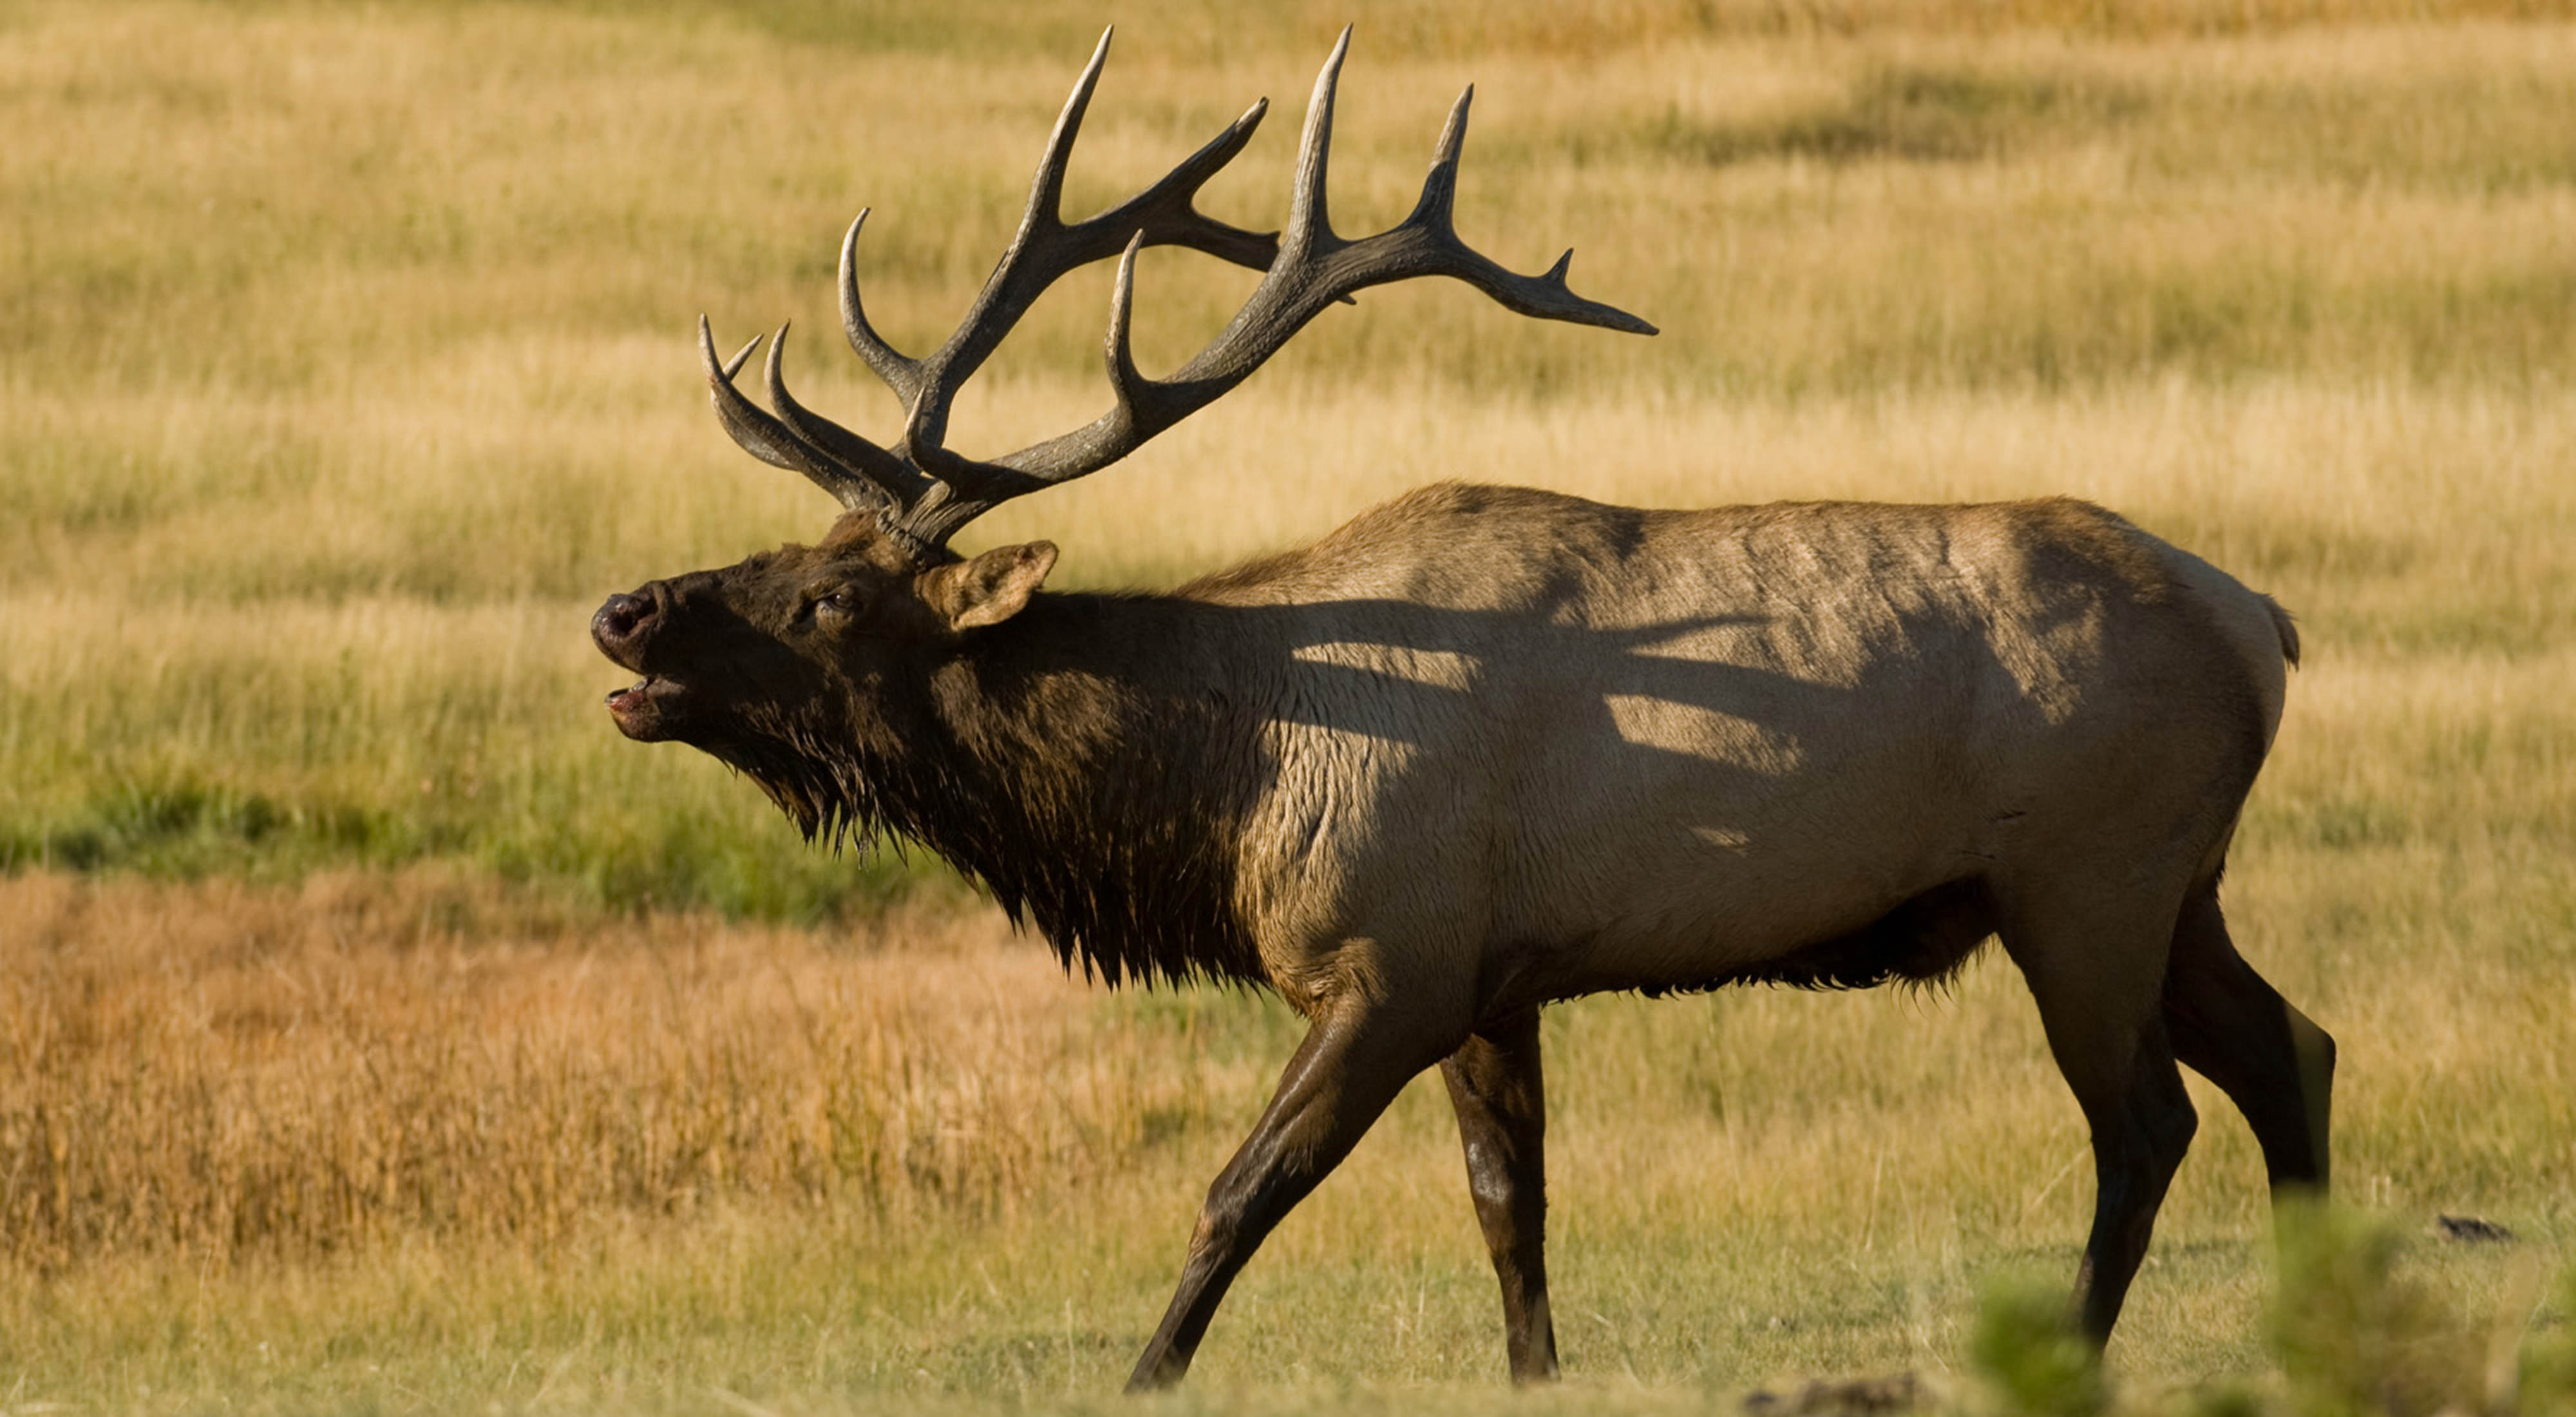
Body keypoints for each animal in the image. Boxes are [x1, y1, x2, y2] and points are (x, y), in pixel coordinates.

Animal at [589, 29, 2336, 1390]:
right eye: (789, 553)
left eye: (829, 600)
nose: (627, 608)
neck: (1225, 781)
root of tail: (2264, 624)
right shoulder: (1497, 979)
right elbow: (1511, 1206)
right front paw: (1533, 1370)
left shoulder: (1393, 959)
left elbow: (1235, 1193)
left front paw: (1144, 1370)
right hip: (2173, 885)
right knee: (2291, 1052)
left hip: (2085, 878)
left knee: (2148, 1119)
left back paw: (2092, 1344)